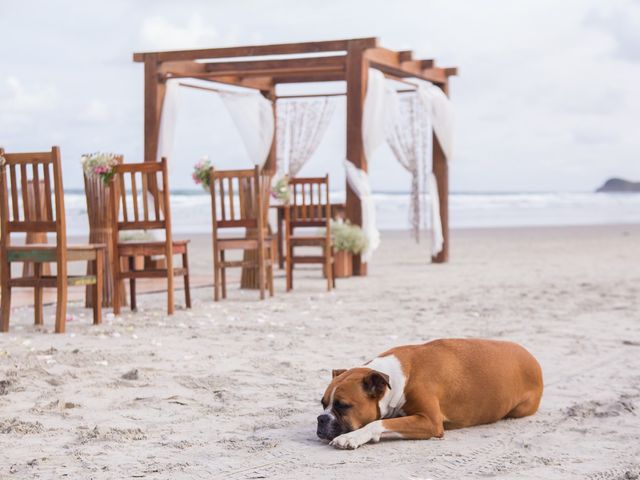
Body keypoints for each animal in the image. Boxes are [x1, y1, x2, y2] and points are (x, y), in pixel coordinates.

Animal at [318, 340, 544, 448]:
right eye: (323, 404)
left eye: (343, 406)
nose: (321, 419)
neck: (398, 377)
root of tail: (533, 359)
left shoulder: (429, 421)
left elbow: (378, 423)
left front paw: (351, 437)